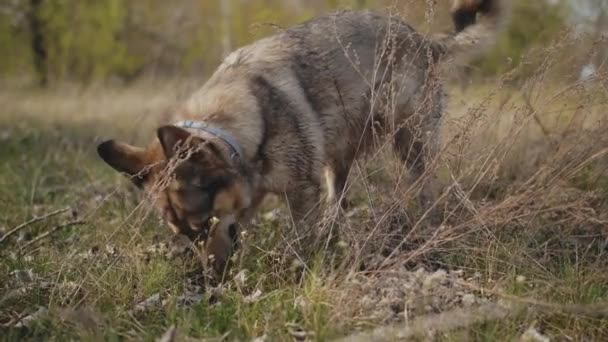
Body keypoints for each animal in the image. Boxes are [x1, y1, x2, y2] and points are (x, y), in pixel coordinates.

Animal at [97, 0, 510, 276]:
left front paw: (294, 269)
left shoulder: (300, 193)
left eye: (204, 225)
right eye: (184, 234)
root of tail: (424, 40)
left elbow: (297, 241)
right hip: (336, 162)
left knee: (425, 190)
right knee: (337, 202)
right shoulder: (257, 198)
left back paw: (426, 227)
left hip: (411, 146)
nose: (210, 279)